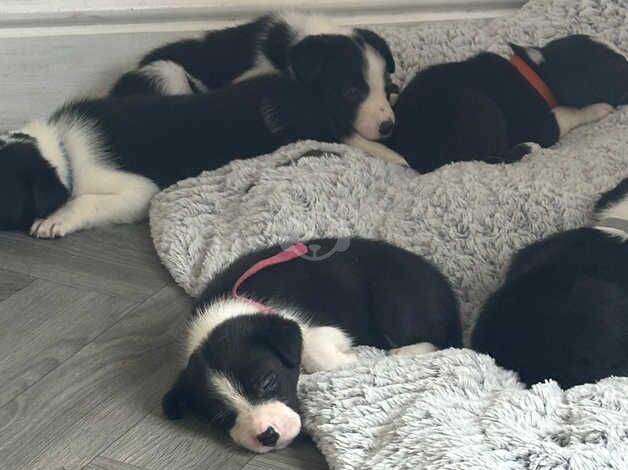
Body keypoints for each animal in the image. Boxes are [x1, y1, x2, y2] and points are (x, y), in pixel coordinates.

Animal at [162, 239, 462, 452]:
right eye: (219, 415)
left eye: (267, 381)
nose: (268, 436)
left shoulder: (313, 327)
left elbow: (316, 351)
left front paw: (354, 360)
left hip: (396, 303)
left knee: (434, 342)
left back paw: (400, 353)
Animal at [390, 35, 624, 173]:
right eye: (614, 68)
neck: (537, 76)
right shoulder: (542, 126)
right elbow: (567, 113)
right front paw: (599, 108)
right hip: (478, 105)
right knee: (480, 157)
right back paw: (528, 147)